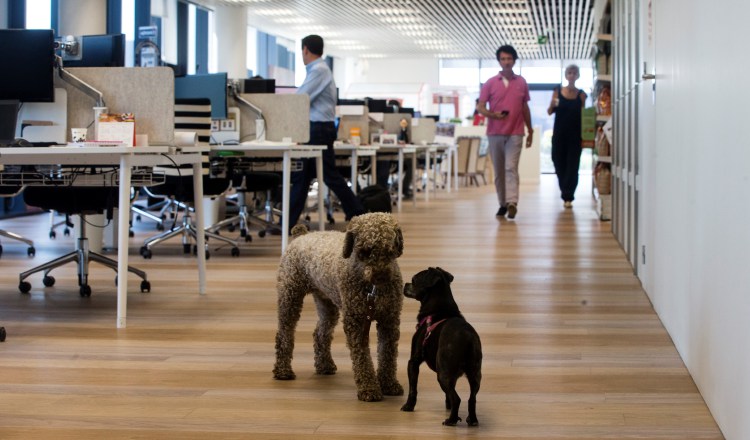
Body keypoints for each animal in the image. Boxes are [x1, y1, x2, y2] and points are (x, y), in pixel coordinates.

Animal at [402, 266, 484, 424]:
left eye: (414, 280)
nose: (405, 284)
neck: (439, 310)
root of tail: (467, 337)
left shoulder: (413, 362)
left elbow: (412, 389)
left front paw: (408, 406)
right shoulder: (453, 377)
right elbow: (450, 393)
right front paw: (448, 406)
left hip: (443, 374)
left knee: (457, 398)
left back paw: (451, 421)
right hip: (475, 374)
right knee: (472, 398)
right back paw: (472, 420)